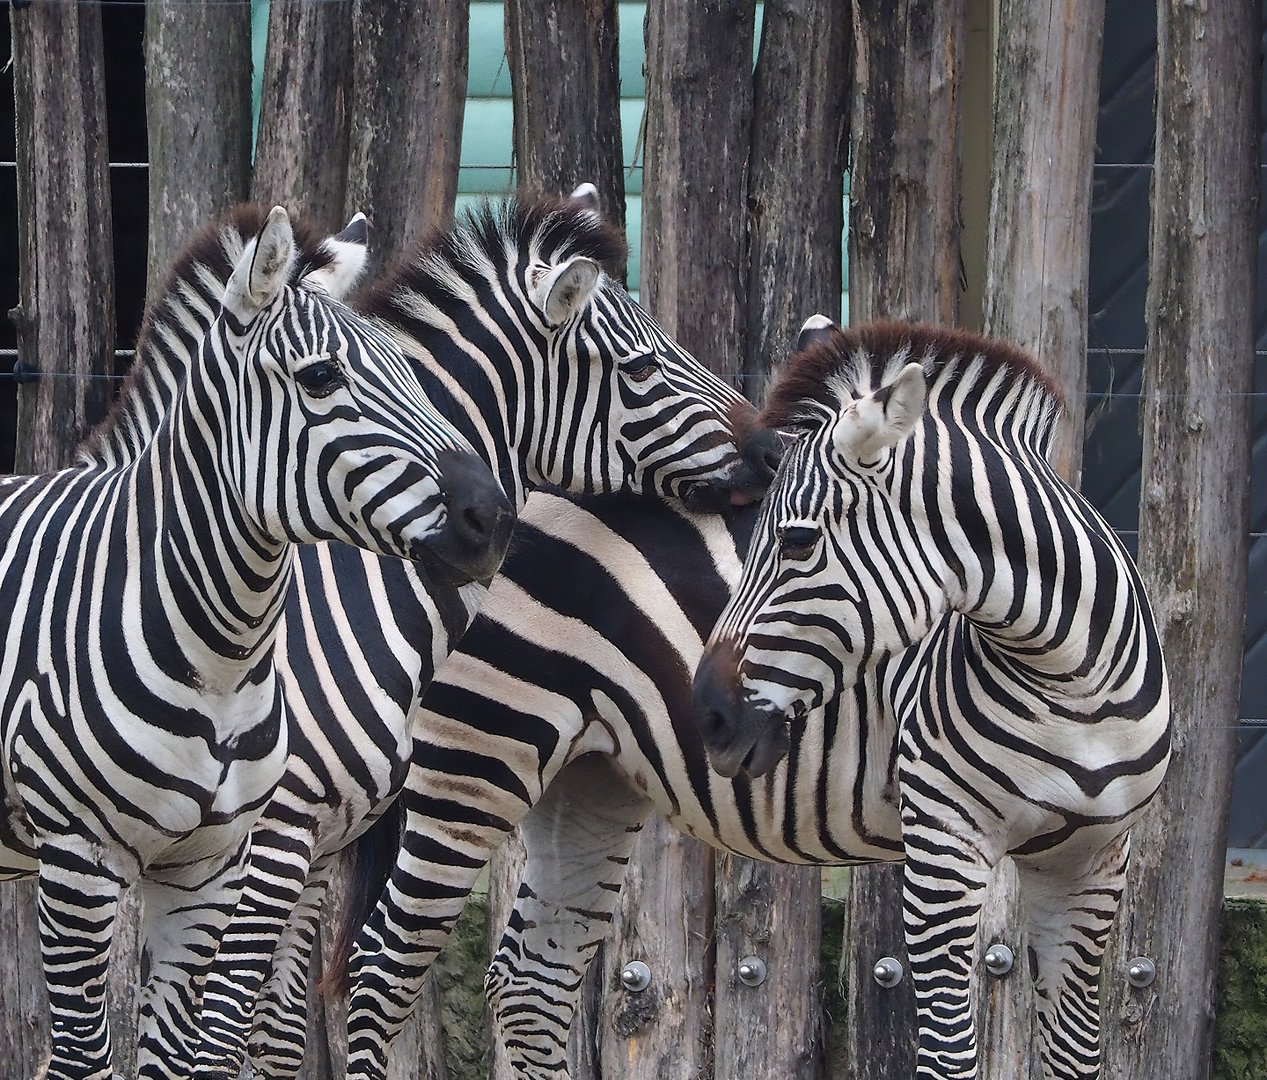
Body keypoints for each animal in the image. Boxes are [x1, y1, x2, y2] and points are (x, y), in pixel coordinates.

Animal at [0, 205, 511, 1080]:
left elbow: (179, 1056)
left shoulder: (208, 868)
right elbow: (85, 1057)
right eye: (320, 379)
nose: (492, 519)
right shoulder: (78, 859)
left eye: (413, 376)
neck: (217, 654)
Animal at [324, 318, 1171, 1080]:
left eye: (795, 540)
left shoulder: (1094, 859)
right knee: (380, 967)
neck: (1067, 683)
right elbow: (948, 1057)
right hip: (478, 756)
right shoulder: (944, 843)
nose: (706, 712)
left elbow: (1076, 1055)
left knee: (532, 983)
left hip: (585, 779)